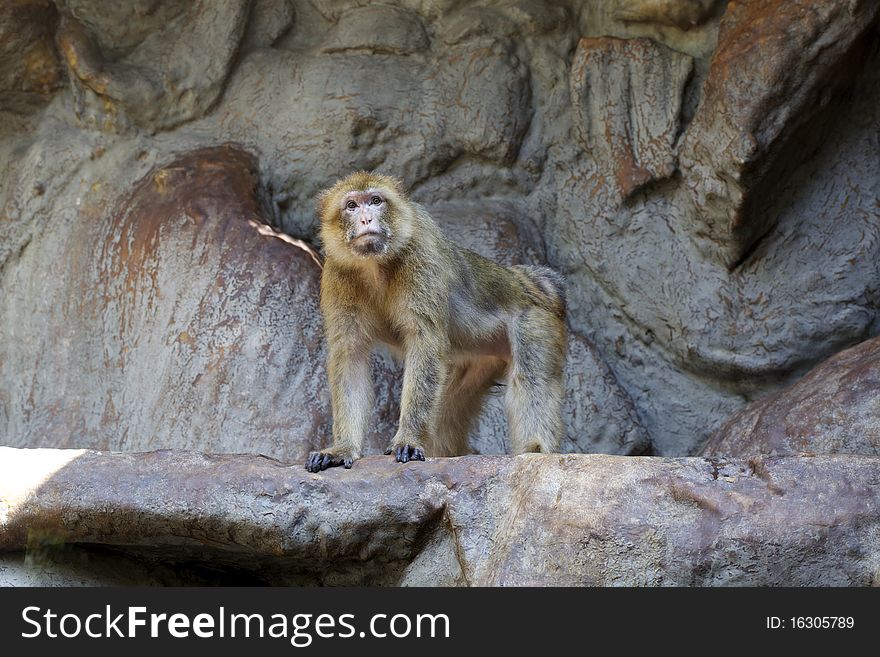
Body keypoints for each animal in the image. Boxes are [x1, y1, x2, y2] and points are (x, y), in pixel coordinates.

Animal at [306, 170, 568, 472]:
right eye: (351, 206)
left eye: (375, 201)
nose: (366, 220)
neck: (375, 265)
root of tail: (528, 283)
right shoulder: (337, 271)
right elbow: (350, 355)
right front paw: (342, 447)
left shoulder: (421, 254)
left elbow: (425, 341)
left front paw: (408, 440)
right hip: (476, 361)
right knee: (449, 403)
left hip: (535, 321)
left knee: (531, 379)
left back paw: (535, 451)